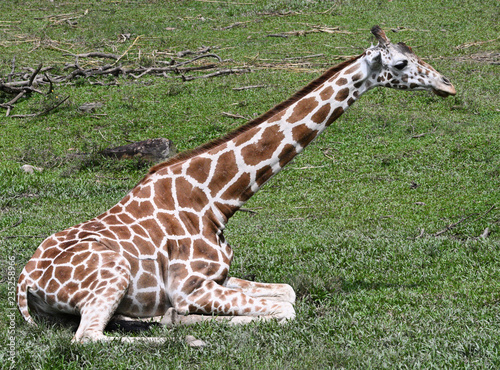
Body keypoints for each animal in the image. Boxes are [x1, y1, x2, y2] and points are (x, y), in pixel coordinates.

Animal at [17, 26, 456, 344]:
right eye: (401, 62)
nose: (448, 85)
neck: (216, 198)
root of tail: (25, 280)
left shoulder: (221, 278)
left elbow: (287, 292)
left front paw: (174, 319)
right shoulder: (190, 287)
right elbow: (284, 311)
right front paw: (184, 322)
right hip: (113, 272)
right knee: (86, 337)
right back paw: (178, 336)